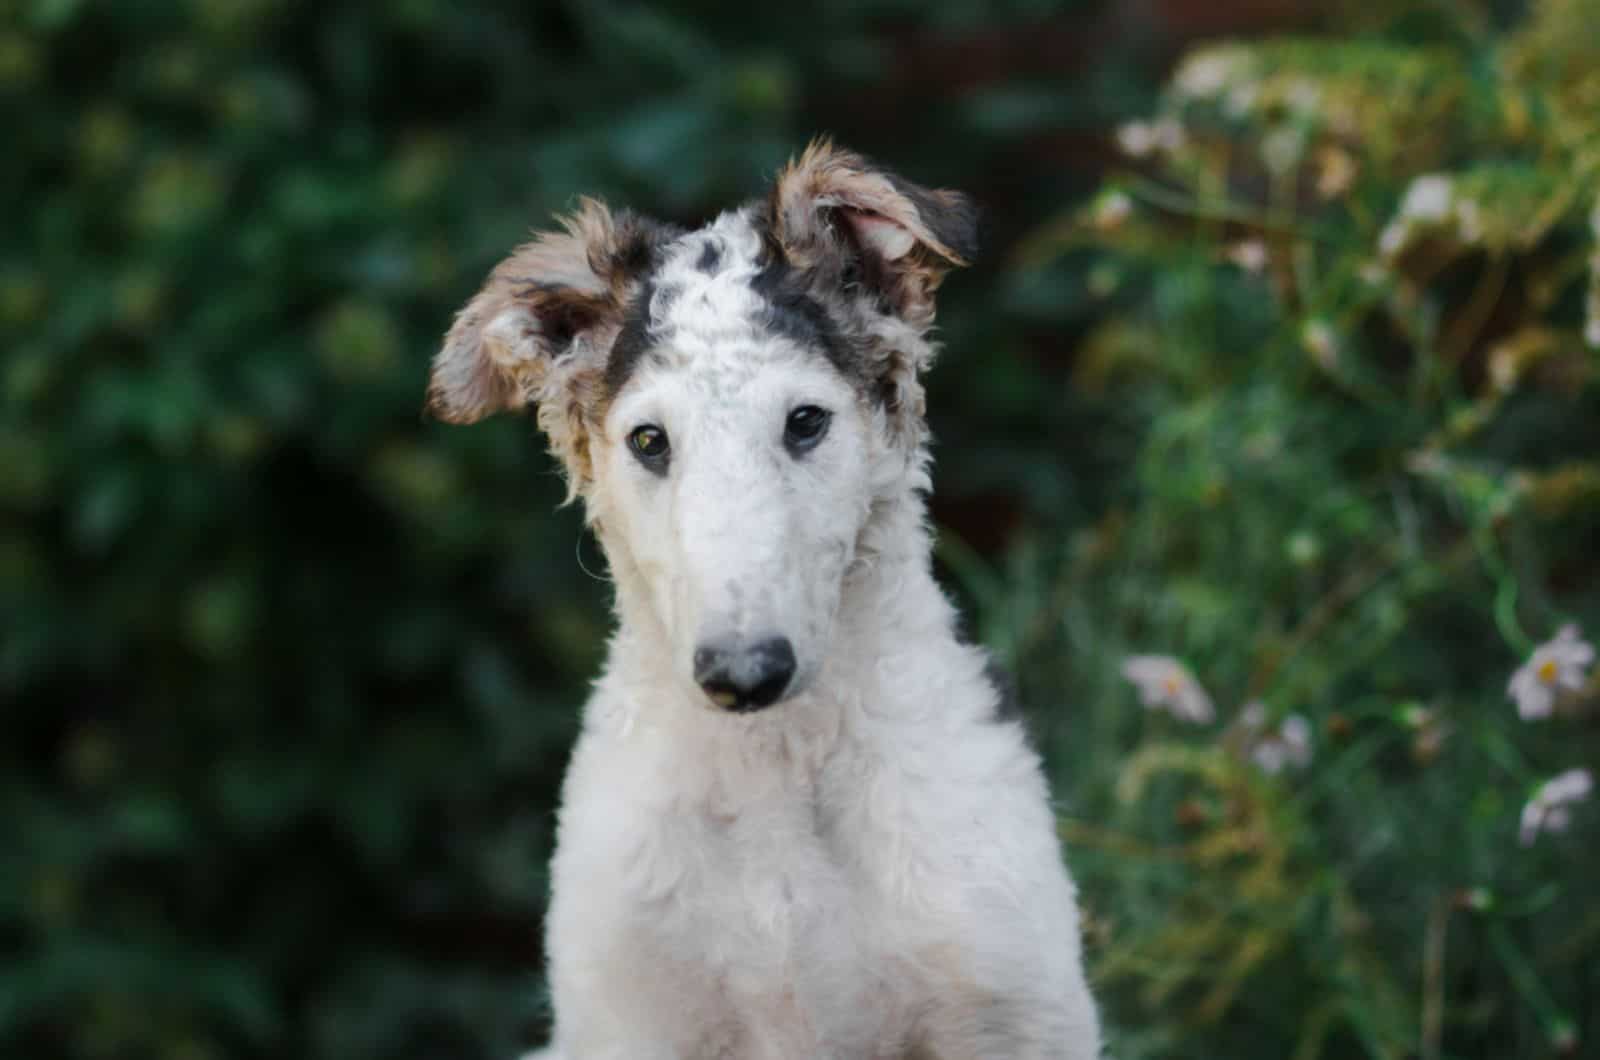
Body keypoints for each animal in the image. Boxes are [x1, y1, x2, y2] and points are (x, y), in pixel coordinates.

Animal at [425, 140, 1100, 1060]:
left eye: (806, 420)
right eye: (648, 439)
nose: (743, 675)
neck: (776, 769)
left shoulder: (1013, 1013)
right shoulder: (629, 1021)